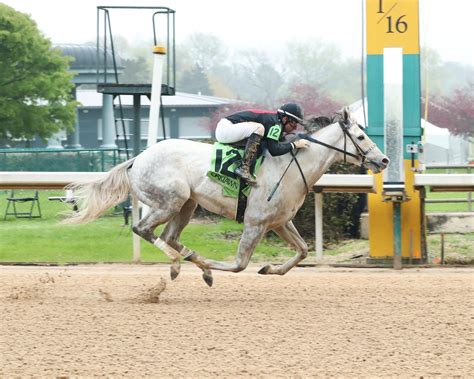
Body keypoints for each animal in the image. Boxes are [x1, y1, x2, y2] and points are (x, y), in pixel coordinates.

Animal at [65, 108, 386, 286]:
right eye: (360, 137)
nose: (383, 160)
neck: (291, 165)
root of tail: (137, 159)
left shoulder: (279, 222)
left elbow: (304, 251)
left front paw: (269, 268)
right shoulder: (255, 223)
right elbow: (239, 264)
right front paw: (209, 267)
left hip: (188, 204)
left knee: (168, 237)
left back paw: (188, 259)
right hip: (171, 199)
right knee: (143, 229)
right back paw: (179, 264)